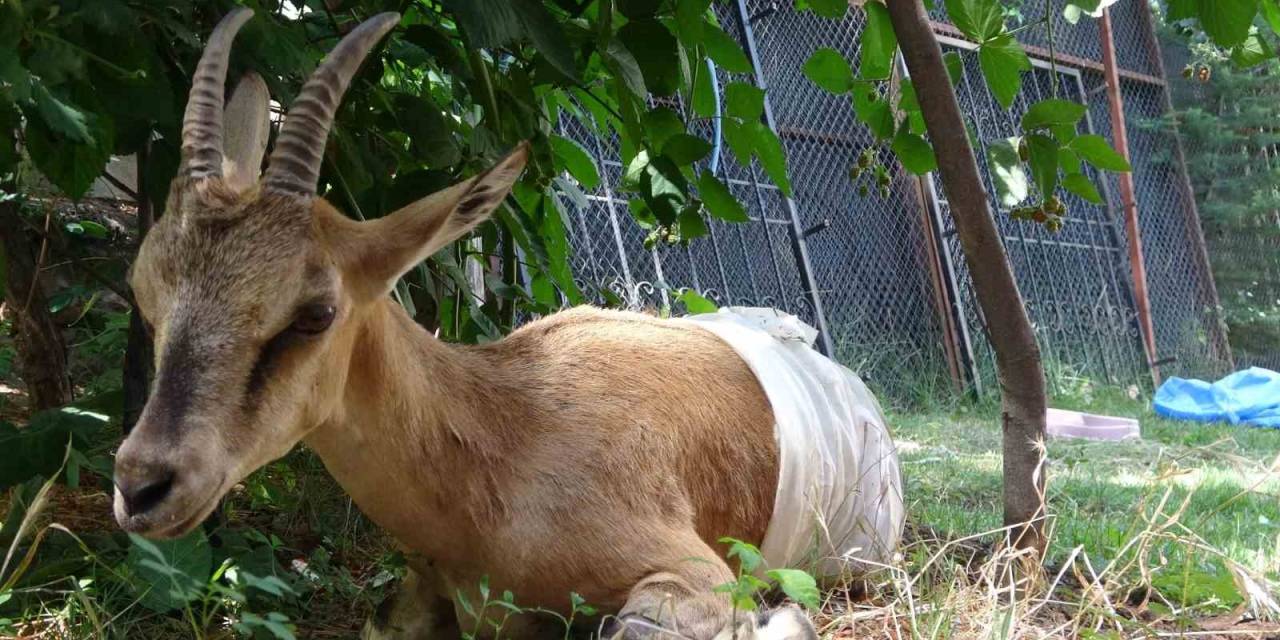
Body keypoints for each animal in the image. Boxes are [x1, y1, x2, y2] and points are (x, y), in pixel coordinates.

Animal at [115, 11, 906, 640]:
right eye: (144, 289)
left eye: (315, 313)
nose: (143, 486)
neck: (499, 446)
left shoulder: (695, 570)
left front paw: (786, 612)